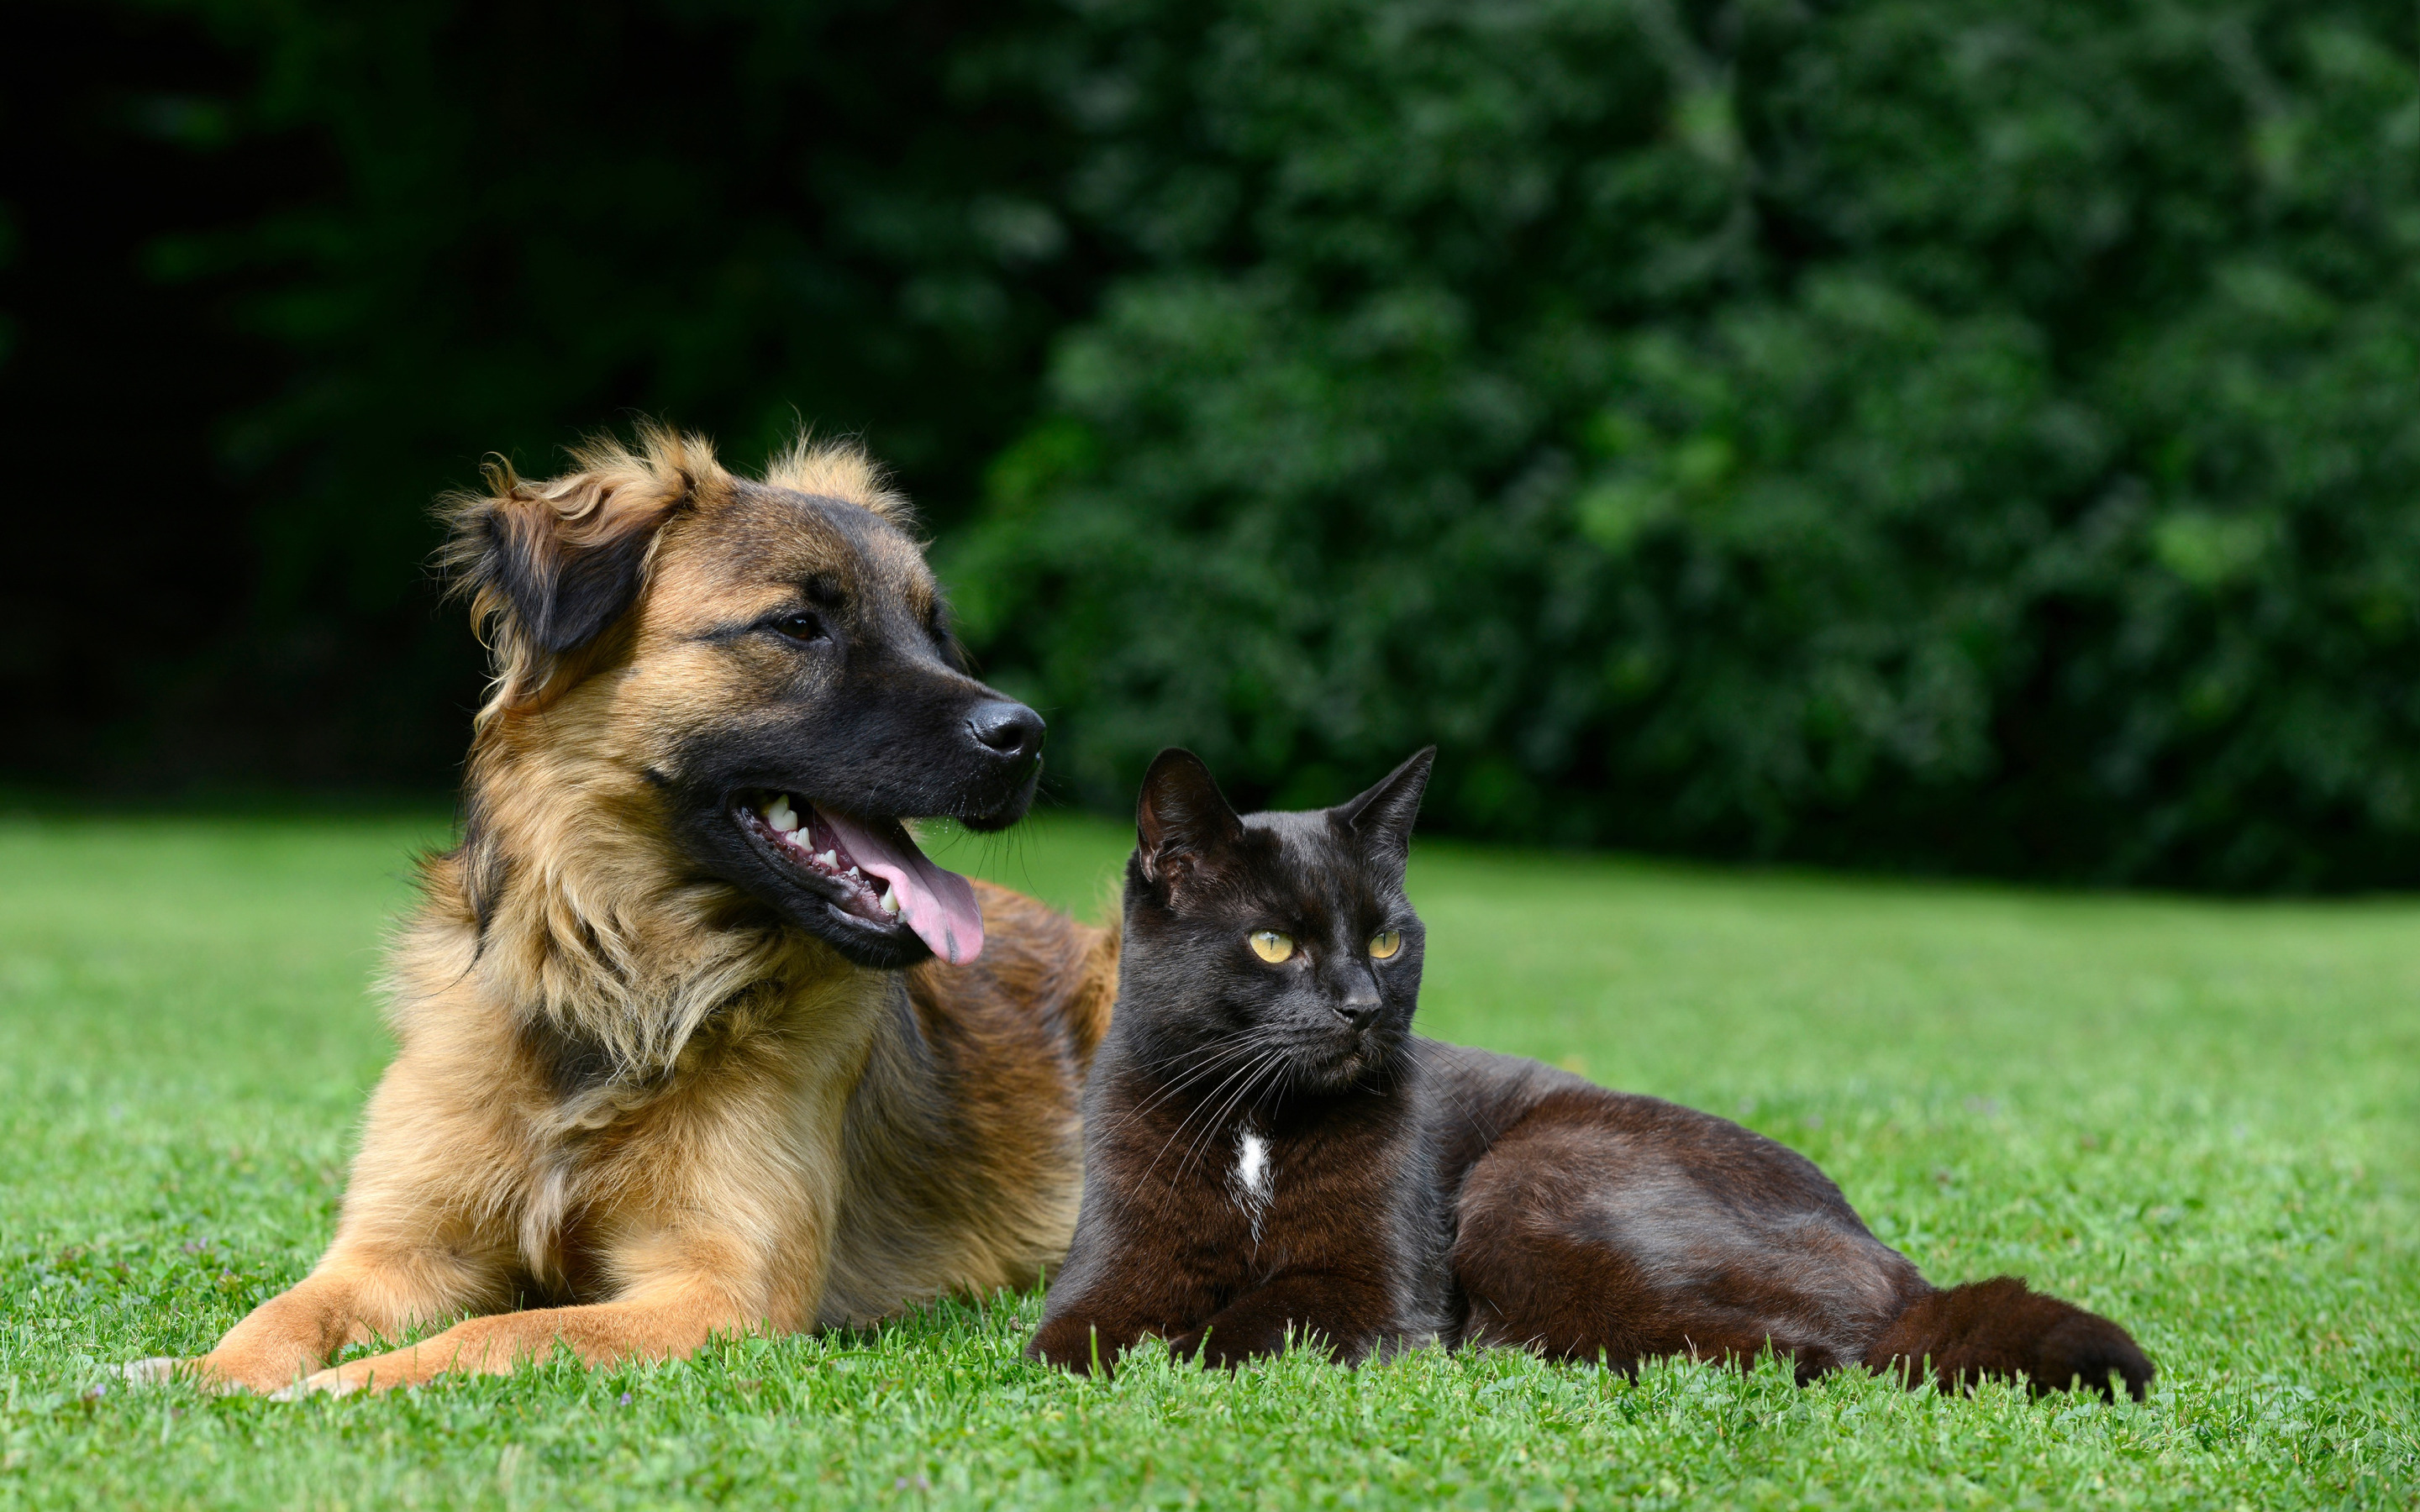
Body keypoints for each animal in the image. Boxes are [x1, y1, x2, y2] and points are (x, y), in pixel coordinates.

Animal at [127, 421, 1118, 1393]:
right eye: (799, 626)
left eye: (932, 633)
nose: (1025, 736)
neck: (620, 982)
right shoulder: (399, 1248)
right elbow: (285, 1312)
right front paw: (206, 1373)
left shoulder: (719, 1293)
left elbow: (500, 1336)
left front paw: (349, 1385)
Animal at [1026, 749, 2158, 1393]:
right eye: (1272, 945)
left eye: (1386, 940)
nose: (1360, 1006)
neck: (1256, 1126)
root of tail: (1891, 1259)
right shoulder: (1112, 1266)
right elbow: (1067, 1342)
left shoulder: (1375, 1288)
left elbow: (1238, 1327)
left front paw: (1175, 1354)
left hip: (1531, 1184)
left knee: (1820, 1353)